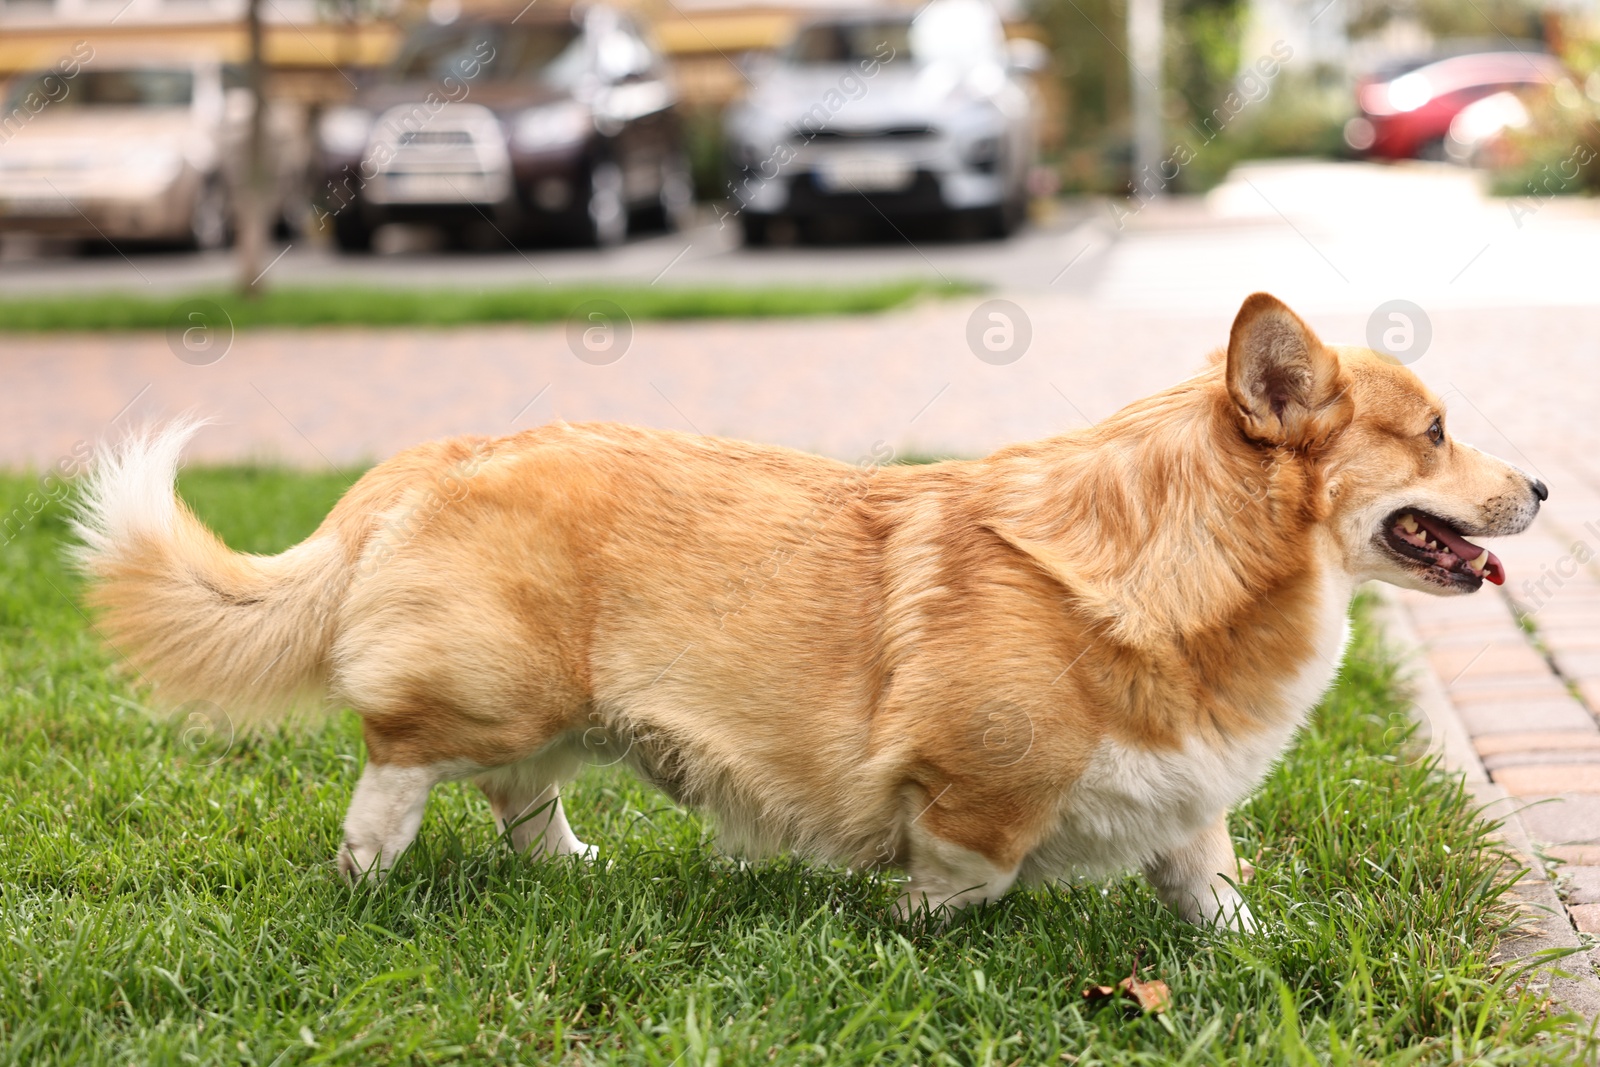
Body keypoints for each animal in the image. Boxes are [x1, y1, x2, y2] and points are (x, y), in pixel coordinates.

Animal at [68, 292, 1542, 927]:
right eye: (1435, 430)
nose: (1538, 483)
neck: (1178, 560)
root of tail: (443, 453)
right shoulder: (972, 788)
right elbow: (969, 871)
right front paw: (921, 940)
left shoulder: (1188, 792)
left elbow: (1210, 879)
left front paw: (1247, 948)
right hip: (485, 693)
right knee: (398, 770)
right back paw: (366, 881)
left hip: (557, 713)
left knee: (524, 797)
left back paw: (575, 869)